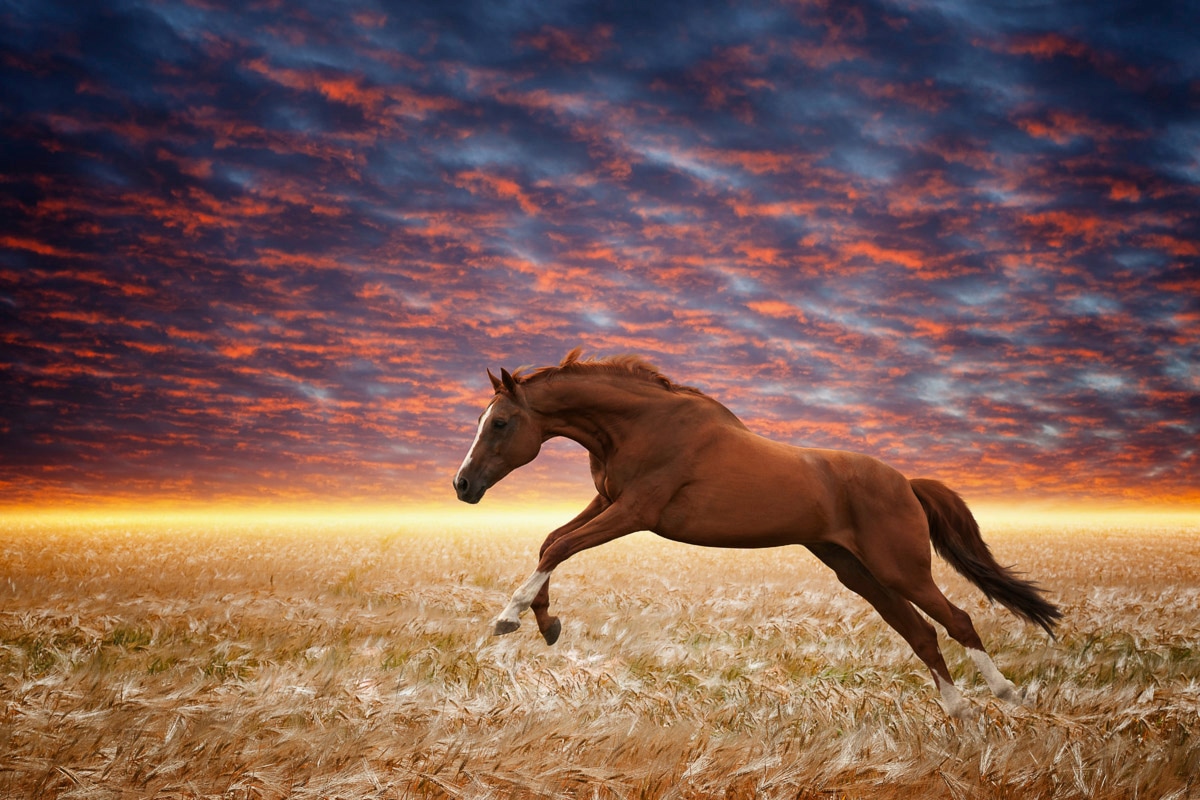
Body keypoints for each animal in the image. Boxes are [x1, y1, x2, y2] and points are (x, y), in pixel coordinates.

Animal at [451, 347, 1060, 719]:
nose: (462, 485)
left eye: (499, 422)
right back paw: (956, 709)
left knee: (957, 619)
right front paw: (546, 622)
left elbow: (559, 545)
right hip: (856, 571)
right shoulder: (607, 502)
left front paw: (511, 618)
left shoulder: (635, 512)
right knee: (920, 632)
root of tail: (906, 483)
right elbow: (550, 542)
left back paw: (1005, 693)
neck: (642, 425)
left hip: (899, 567)